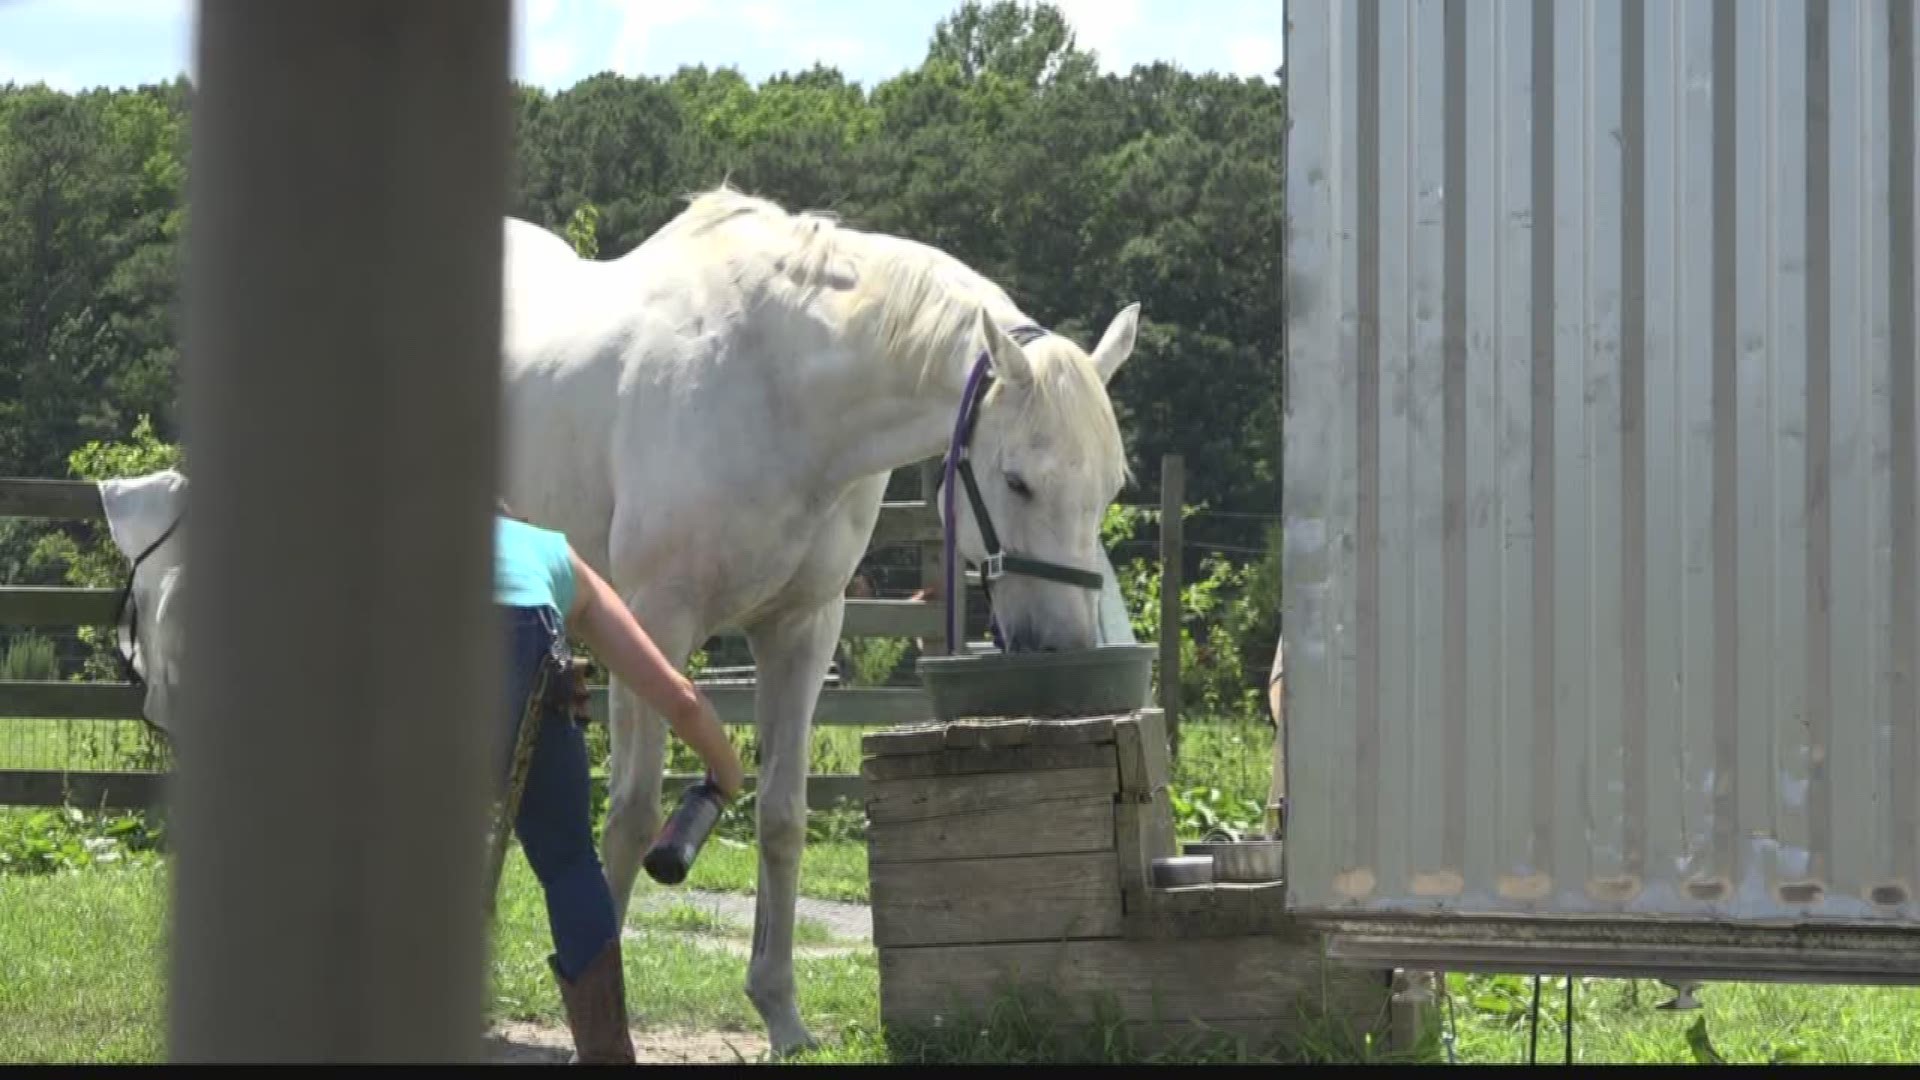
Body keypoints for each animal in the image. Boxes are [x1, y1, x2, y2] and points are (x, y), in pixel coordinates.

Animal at [503, 187, 1144, 1053]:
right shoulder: (653, 621)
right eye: (1017, 481)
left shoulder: (803, 630)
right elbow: (632, 815)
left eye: (1110, 486)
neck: (777, 388)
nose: (1064, 649)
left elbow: (782, 814)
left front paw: (780, 1011)